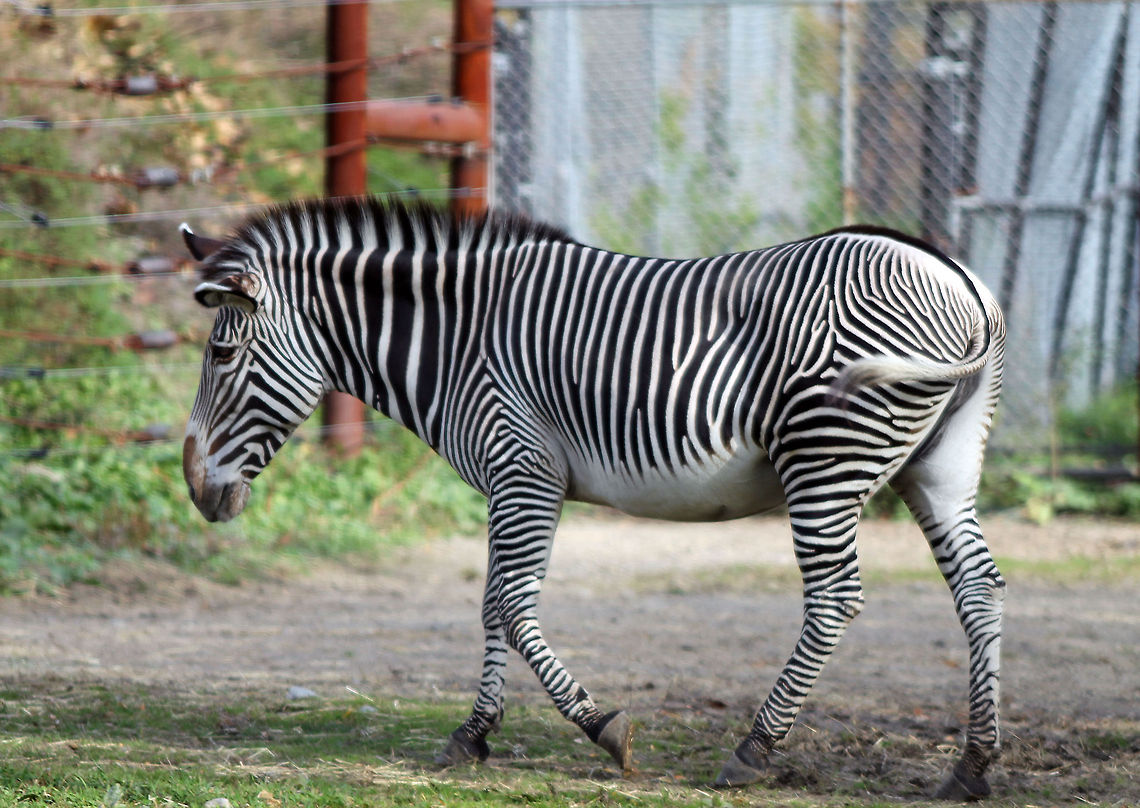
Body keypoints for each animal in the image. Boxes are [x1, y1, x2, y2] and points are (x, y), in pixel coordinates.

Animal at [180, 197, 1006, 800]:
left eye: (221, 353)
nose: (194, 489)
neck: (458, 341)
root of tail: (961, 281)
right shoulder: (514, 480)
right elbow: (492, 604)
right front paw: (473, 734)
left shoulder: (522, 467)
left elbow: (512, 604)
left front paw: (602, 726)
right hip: (939, 469)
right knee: (980, 589)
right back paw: (970, 767)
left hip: (826, 457)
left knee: (836, 597)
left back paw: (753, 749)